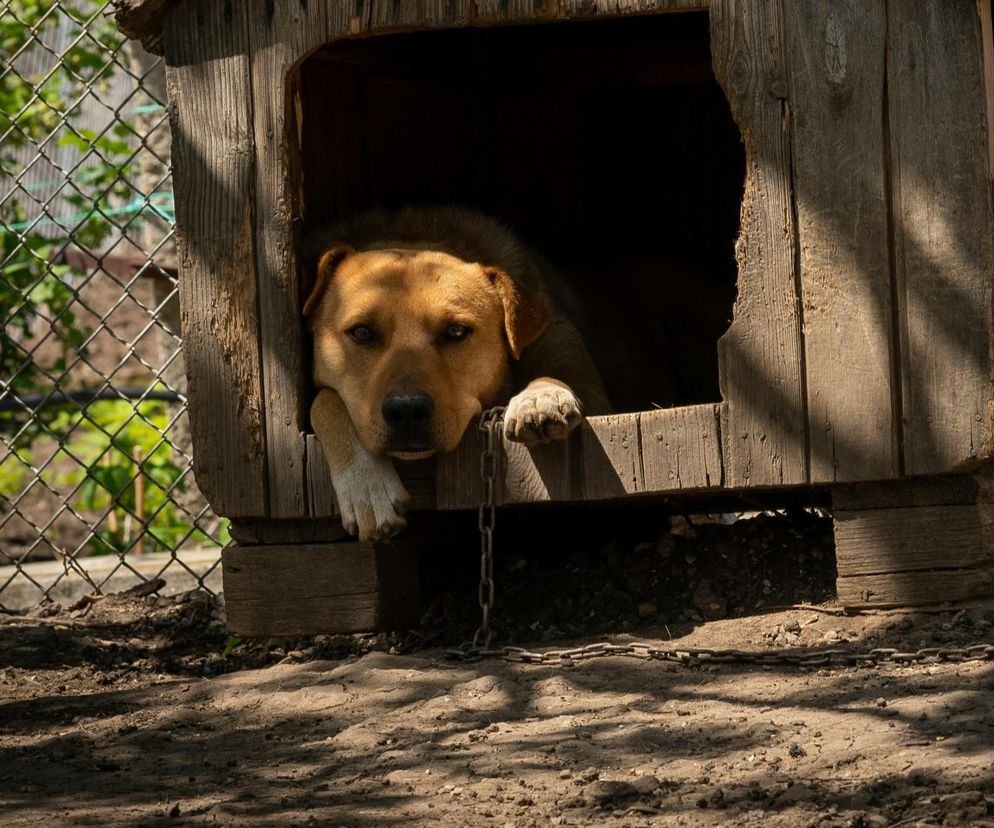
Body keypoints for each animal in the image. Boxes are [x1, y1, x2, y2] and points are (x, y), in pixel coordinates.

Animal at [302, 207, 608, 544]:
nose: (406, 410)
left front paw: (540, 396)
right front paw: (367, 485)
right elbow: (324, 401)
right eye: (361, 332)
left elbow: (560, 374)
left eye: (456, 331)